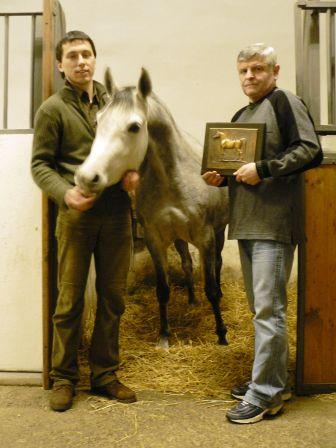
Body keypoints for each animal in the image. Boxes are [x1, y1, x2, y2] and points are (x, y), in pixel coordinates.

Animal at [75, 68, 230, 350]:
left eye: (134, 127)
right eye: (98, 120)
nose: (86, 177)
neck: (173, 181)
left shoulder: (205, 237)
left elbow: (211, 288)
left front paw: (222, 334)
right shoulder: (155, 239)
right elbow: (163, 289)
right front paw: (164, 336)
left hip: (219, 232)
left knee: (218, 264)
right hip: (179, 238)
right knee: (187, 264)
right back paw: (192, 299)